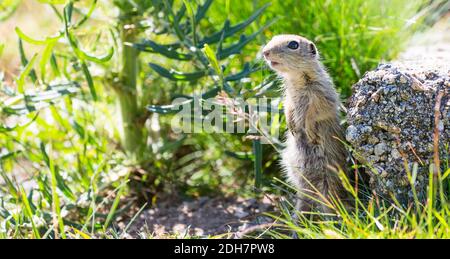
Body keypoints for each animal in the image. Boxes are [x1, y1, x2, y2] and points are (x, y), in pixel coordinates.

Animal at [262, 34, 350, 213]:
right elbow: (288, 108)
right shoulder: (288, 98)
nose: (265, 52)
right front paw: (291, 126)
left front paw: (309, 131)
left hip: (328, 184)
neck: (296, 79)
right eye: (273, 38)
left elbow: (315, 113)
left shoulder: (322, 95)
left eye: (293, 44)